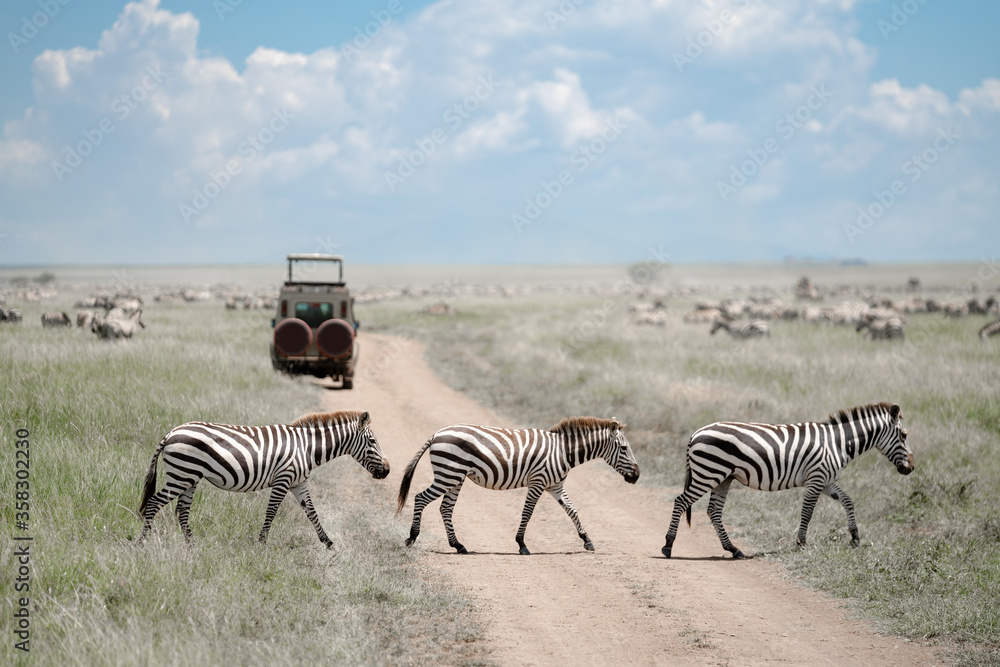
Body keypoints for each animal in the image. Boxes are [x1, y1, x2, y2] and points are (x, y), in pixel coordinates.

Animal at [139, 410, 389, 548]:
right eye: (373, 442)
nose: (387, 471)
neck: (306, 448)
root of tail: (171, 432)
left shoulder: (299, 483)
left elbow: (312, 512)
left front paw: (328, 543)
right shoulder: (283, 479)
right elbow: (272, 512)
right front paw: (261, 543)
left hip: (190, 477)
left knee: (182, 511)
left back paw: (192, 546)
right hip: (182, 475)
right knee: (153, 504)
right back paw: (141, 544)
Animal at [397, 417, 640, 555]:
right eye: (624, 448)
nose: (637, 476)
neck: (563, 452)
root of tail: (437, 433)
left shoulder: (555, 486)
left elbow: (572, 510)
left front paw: (587, 540)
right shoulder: (538, 482)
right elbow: (527, 513)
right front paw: (521, 544)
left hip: (456, 477)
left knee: (445, 508)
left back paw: (459, 546)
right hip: (448, 474)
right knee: (420, 498)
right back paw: (412, 537)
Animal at [661, 402, 914, 559]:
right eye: (904, 435)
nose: (911, 468)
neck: (837, 443)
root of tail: (695, 433)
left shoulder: (827, 481)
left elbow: (848, 501)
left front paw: (855, 538)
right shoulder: (816, 478)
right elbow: (807, 513)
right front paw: (801, 543)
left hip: (723, 477)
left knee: (713, 511)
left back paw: (733, 549)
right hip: (708, 473)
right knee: (681, 501)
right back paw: (668, 545)